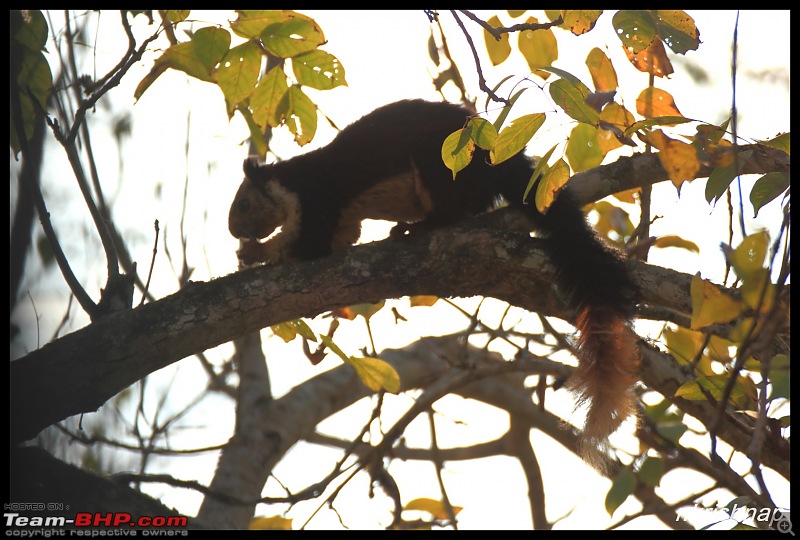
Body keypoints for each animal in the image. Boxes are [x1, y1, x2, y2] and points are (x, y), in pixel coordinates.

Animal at [228, 98, 640, 464]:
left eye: (243, 204)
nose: (233, 230)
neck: (290, 182)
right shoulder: (342, 221)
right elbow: (343, 238)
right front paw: (251, 251)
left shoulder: (316, 197)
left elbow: (307, 247)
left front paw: (257, 251)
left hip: (439, 161)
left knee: (451, 210)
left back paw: (417, 227)